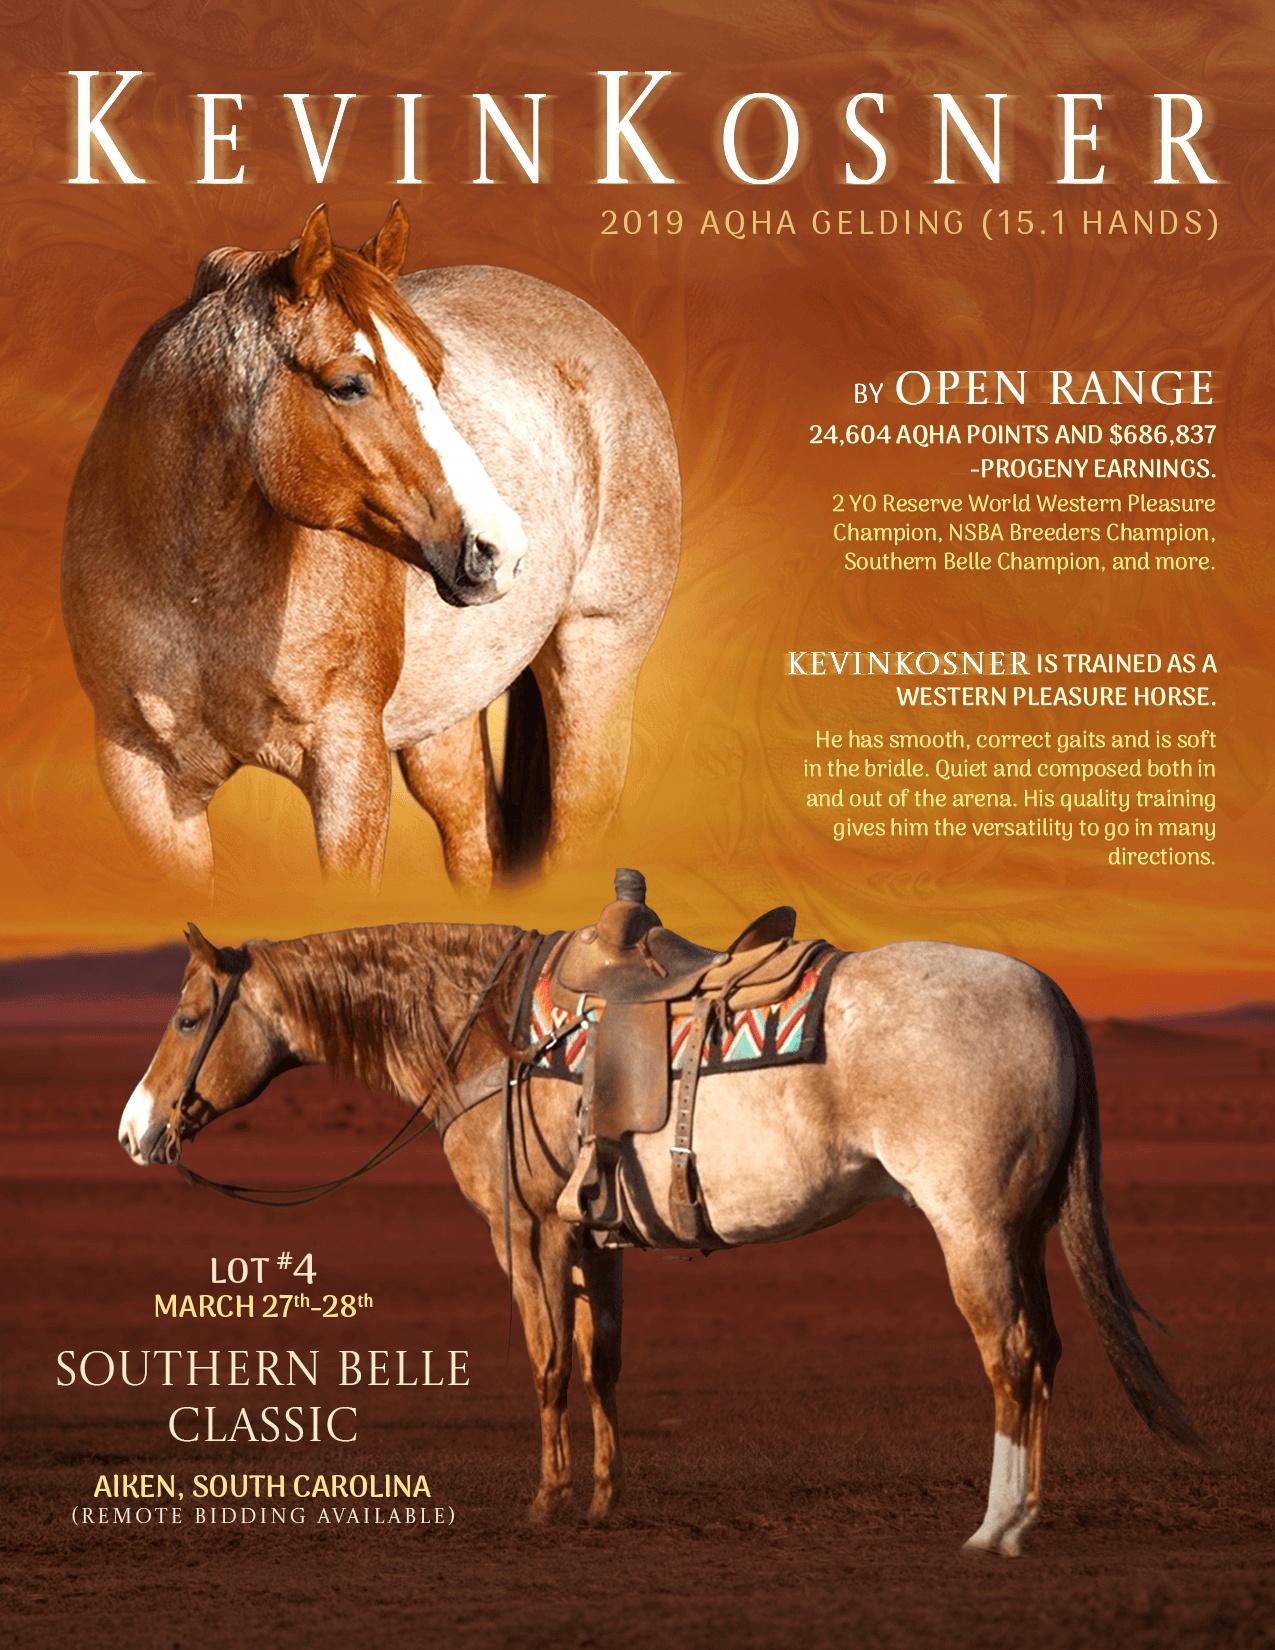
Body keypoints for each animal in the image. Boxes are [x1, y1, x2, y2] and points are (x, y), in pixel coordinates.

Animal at [62, 204, 680, 888]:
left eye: (436, 372)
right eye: (349, 385)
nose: (499, 545)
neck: (203, 593)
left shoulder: (348, 764)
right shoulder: (146, 780)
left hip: (593, 664)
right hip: (444, 721)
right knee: (476, 842)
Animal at [117, 914, 1211, 1556]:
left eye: (187, 1017)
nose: (135, 1132)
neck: (490, 1034)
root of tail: (1049, 995)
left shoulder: (527, 1233)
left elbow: (548, 1363)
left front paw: (546, 1503)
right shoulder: (596, 1240)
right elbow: (602, 1364)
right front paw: (603, 1502)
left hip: (972, 1227)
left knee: (1011, 1357)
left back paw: (993, 1528)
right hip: (1023, 1224)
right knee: (1049, 1352)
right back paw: (1027, 1518)